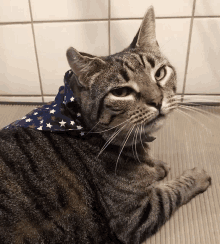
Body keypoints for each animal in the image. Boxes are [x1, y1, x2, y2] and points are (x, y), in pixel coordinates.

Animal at [0, 5, 211, 244]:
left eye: (160, 73)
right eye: (120, 92)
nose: (157, 101)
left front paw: (155, 166)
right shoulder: (133, 218)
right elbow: (170, 192)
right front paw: (195, 176)